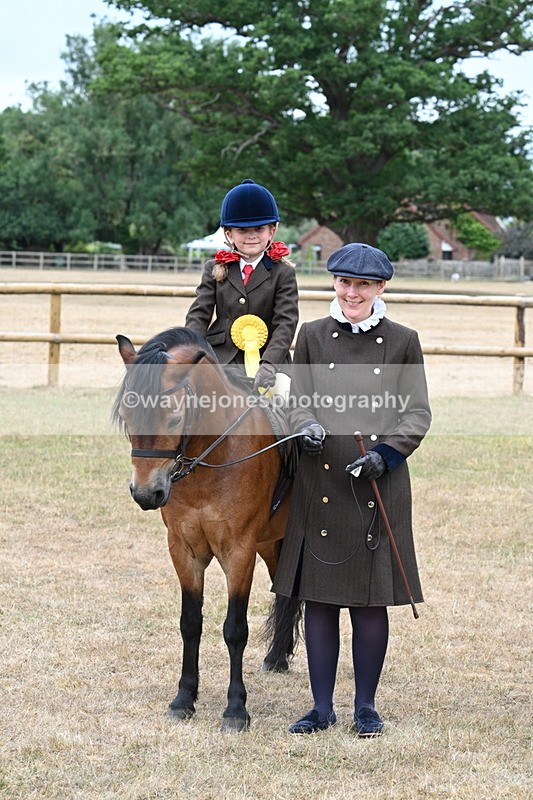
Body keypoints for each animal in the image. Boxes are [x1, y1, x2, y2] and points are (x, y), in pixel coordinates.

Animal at [112, 326, 301, 732]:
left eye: (173, 418)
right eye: (126, 414)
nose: (146, 493)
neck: (211, 458)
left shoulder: (239, 551)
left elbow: (235, 629)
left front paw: (236, 709)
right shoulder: (184, 550)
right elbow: (190, 623)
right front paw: (184, 698)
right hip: (271, 543)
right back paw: (276, 658)